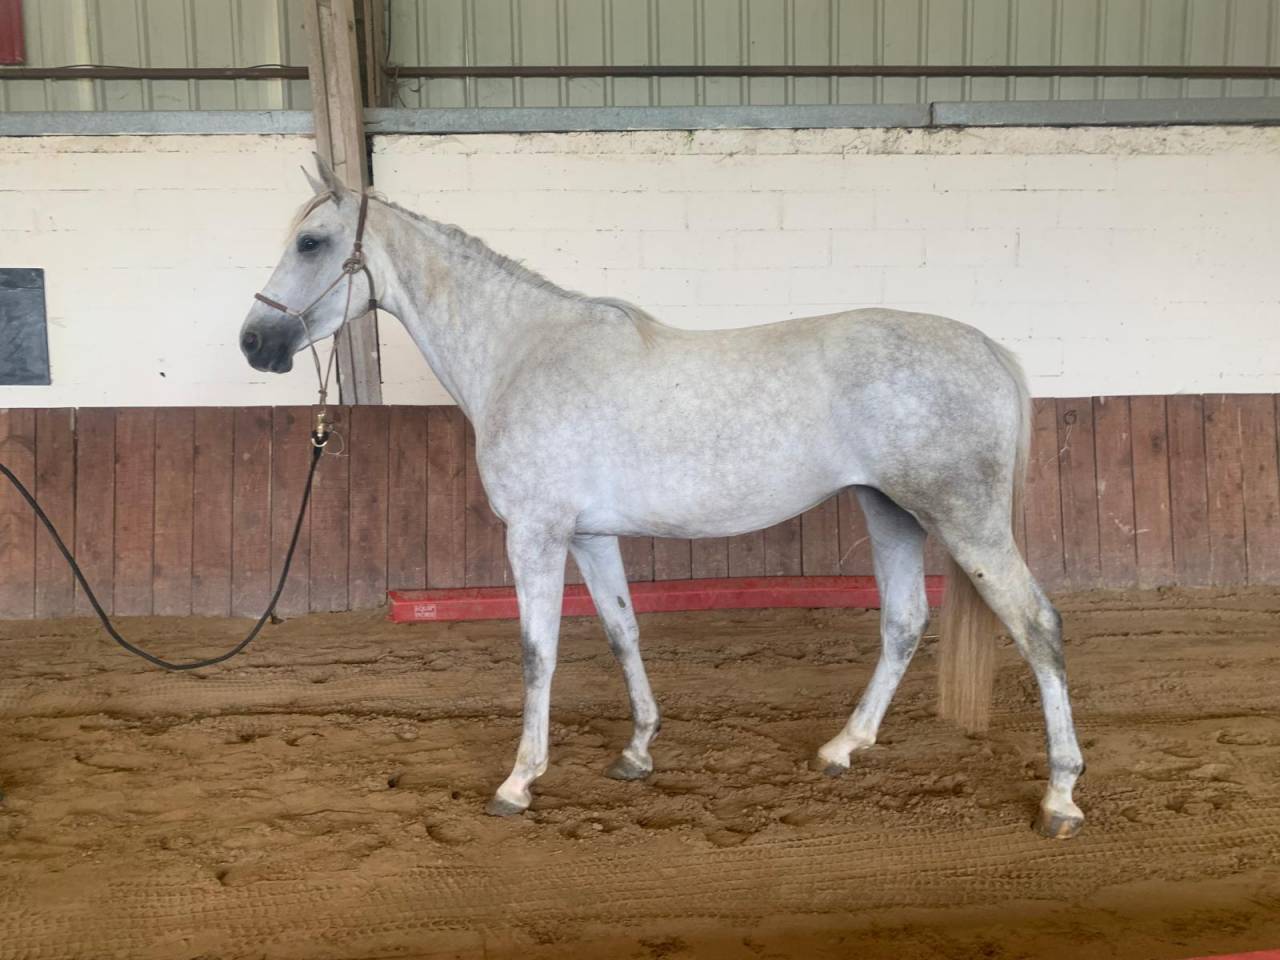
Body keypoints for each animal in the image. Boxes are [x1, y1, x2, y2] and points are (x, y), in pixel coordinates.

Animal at [239, 160, 1085, 839]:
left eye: (311, 243)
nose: (254, 344)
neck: (522, 352)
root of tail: (986, 347)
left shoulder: (536, 533)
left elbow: (538, 652)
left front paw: (518, 782)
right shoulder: (589, 535)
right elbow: (622, 632)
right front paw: (638, 750)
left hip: (963, 519)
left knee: (1037, 626)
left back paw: (1060, 797)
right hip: (891, 511)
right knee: (904, 622)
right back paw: (842, 749)